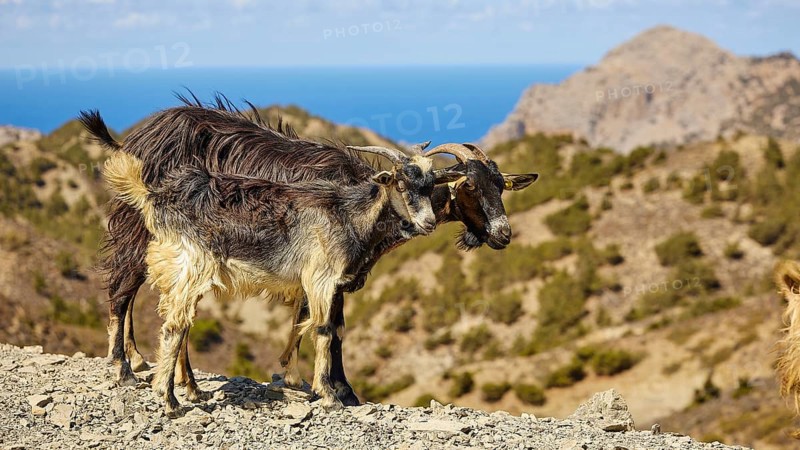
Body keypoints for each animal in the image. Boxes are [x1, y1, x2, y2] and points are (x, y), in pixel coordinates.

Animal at [103, 139, 443, 414]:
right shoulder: (321, 278)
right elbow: (324, 330)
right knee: (174, 326)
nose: (428, 223)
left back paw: (189, 390)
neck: (348, 213)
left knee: (181, 325)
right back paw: (168, 399)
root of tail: (155, 197)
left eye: (430, 186)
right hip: (191, 266)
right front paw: (329, 395)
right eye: (401, 185)